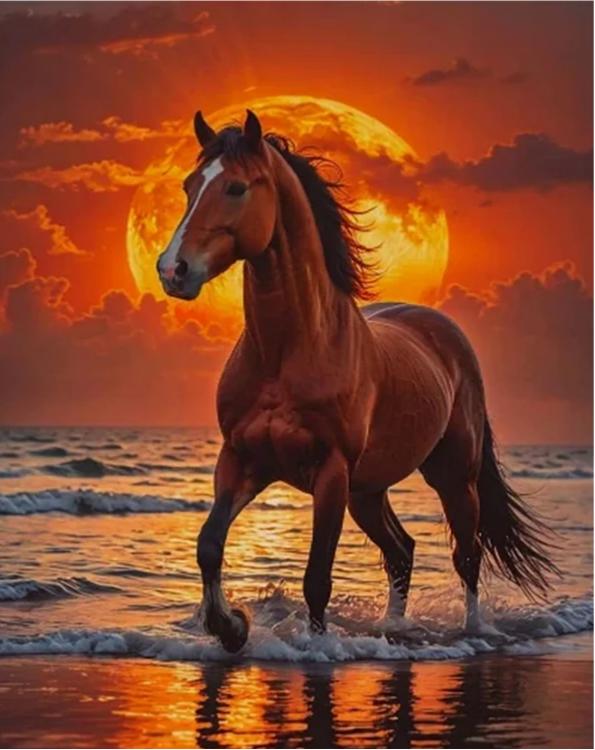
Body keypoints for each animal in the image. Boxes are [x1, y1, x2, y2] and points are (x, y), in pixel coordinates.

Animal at [157, 109, 557, 653]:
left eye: (236, 187)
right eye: (189, 185)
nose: (172, 270)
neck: (289, 351)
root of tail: (445, 334)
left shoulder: (330, 473)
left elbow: (316, 578)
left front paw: (314, 646)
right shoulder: (242, 461)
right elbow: (209, 545)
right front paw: (231, 626)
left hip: (453, 477)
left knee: (467, 556)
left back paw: (473, 632)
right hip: (368, 490)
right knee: (402, 550)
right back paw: (394, 628)